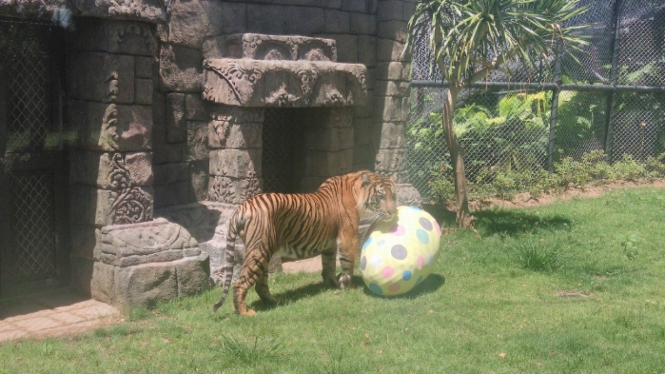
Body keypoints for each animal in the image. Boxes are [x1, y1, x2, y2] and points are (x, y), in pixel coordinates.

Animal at [214, 172, 394, 316]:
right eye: (381, 196)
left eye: (393, 195)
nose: (392, 212)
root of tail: (242, 206)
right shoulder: (348, 238)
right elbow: (347, 264)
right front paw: (349, 287)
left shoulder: (330, 245)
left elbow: (329, 265)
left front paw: (332, 284)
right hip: (259, 250)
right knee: (240, 283)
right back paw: (245, 313)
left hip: (263, 252)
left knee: (260, 285)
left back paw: (275, 301)